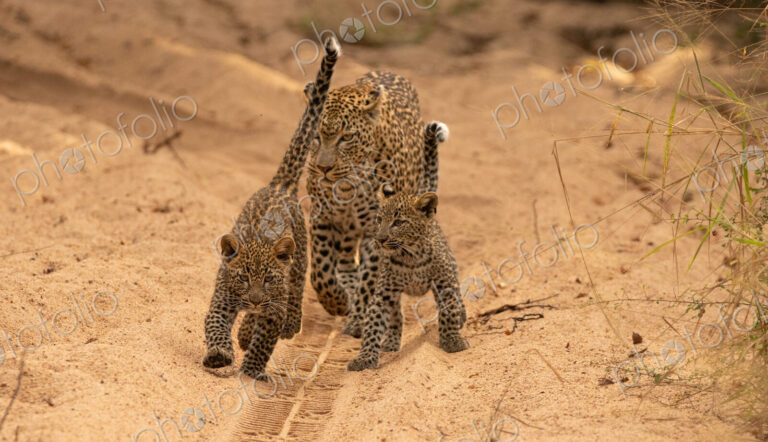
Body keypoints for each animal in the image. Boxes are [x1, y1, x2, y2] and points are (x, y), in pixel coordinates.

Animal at [202, 36, 340, 379]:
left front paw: (251, 370)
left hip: (299, 257)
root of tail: (279, 185)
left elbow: (264, 341)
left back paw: (287, 325)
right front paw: (219, 355)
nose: (254, 298)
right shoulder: (223, 299)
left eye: (268, 279)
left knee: (295, 292)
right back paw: (243, 332)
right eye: (243, 277)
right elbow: (216, 327)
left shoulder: (273, 305)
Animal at [305, 70, 437, 338]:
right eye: (316, 136)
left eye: (346, 138)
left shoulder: (377, 229)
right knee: (343, 260)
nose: (323, 168)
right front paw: (336, 302)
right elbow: (320, 271)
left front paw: (357, 319)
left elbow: (369, 279)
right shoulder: (321, 217)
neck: (347, 185)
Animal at [348, 121, 469, 371]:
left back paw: (461, 316)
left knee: (456, 295)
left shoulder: (443, 283)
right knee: (396, 316)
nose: (380, 238)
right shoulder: (383, 293)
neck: (411, 255)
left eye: (398, 222)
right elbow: (372, 325)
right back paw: (391, 341)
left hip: (450, 269)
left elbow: (448, 311)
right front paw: (364, 358)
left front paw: (452, 340)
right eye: (379, 219)